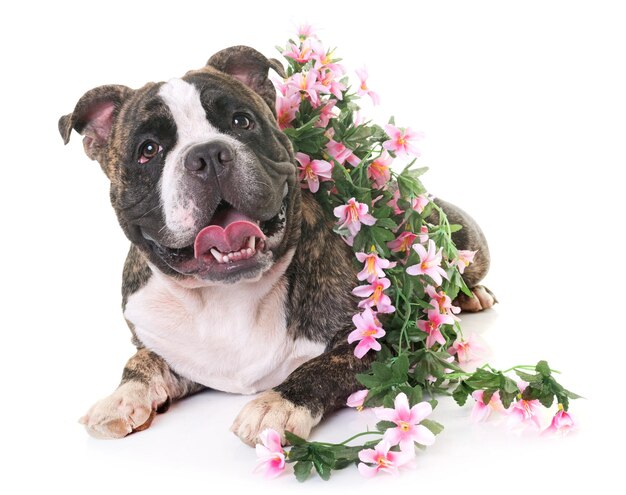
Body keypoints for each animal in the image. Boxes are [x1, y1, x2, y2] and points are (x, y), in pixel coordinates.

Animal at [58, 45, 492, 446]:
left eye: (241, 121)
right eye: (148, 150)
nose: (207, 154)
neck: (224, 297)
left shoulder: (383, 343)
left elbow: (321, 367)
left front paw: (276, 405)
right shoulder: (171, 349)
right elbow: (140, 362)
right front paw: (120, 398)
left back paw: (472, 295)